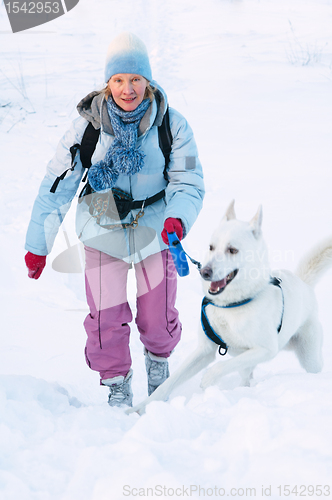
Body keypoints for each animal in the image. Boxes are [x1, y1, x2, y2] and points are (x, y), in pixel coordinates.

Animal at [127, 201, 332, 416]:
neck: (230, 305)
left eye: (232, 250)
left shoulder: (265, 350)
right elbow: (169, 382)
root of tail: (304, 283)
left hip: (309, 356)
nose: (204, 272)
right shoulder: (204, 350)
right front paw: (138, 409)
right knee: (245, 377)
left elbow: (221, 366)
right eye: (211, 247)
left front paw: (208, 379)